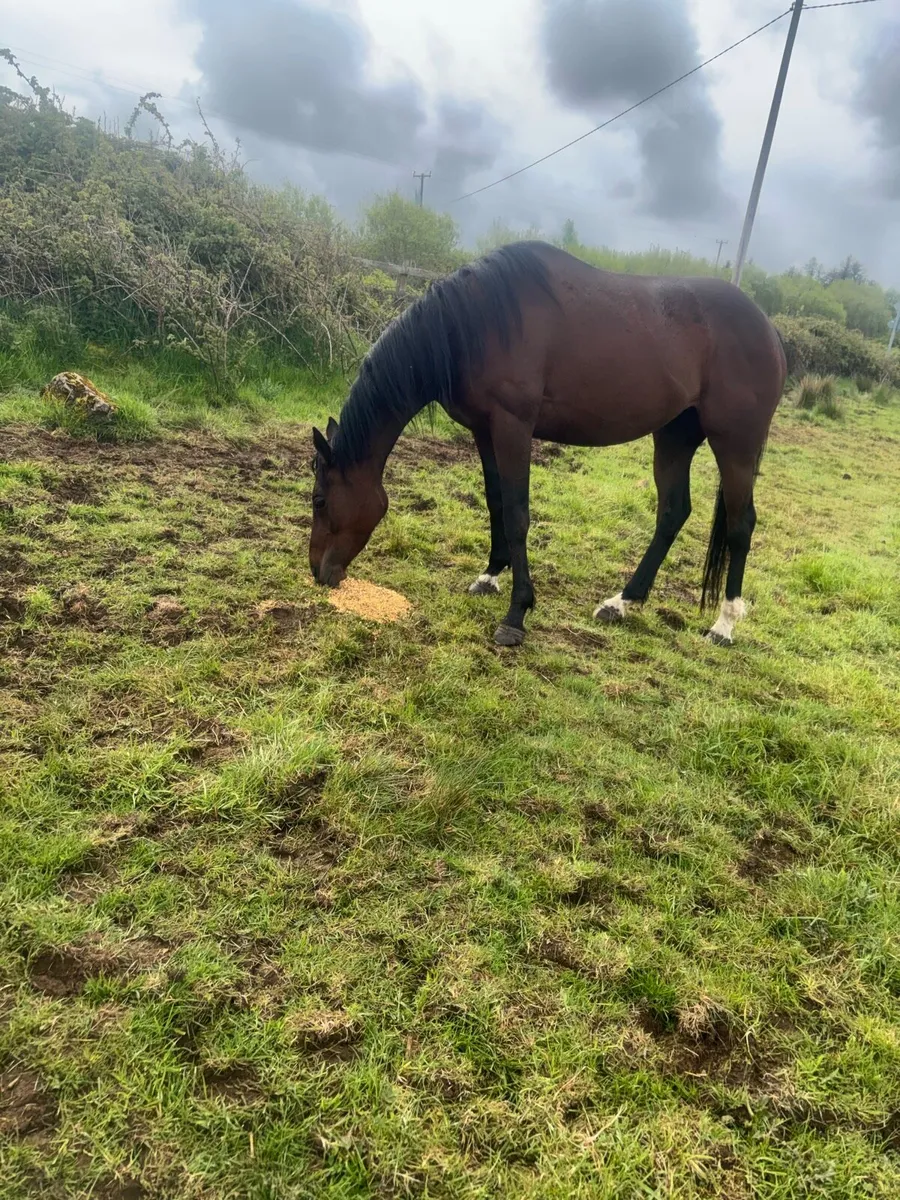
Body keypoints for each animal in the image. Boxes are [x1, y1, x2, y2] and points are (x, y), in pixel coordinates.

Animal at [309, 241, 786, 648]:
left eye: (319, 500)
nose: (318, 572)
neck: (478, 323)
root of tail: (768, 328)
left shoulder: (514, 427)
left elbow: (518, 514)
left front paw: (516, 615)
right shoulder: (484, 430)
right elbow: (496, 502)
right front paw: (489, 577)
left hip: (735, 443)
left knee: (741, 524)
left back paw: (723, 625)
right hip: (674, 435)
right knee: (672, 513)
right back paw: (621, 603)